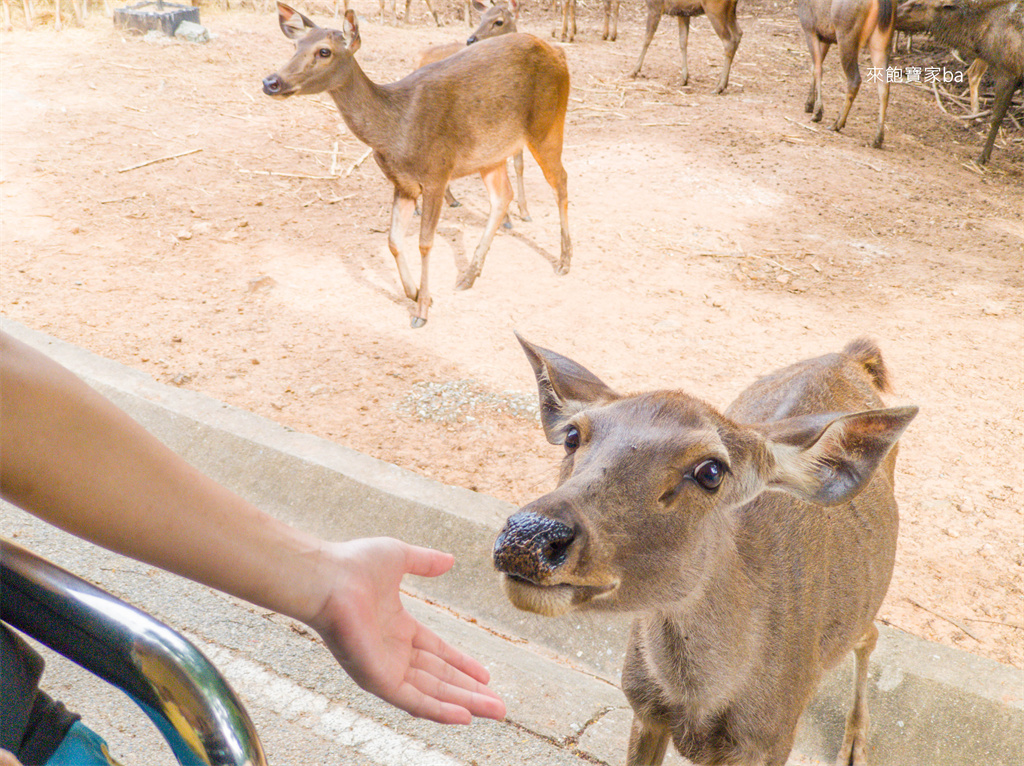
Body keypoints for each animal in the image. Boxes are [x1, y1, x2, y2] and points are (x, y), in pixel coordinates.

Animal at [413, 0, 532, 221]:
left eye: (498, 21)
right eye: (481, 18)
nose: (470, 39)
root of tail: (419, 57)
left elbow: (518, 164)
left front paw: (525, 212)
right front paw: (506, 218)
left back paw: (451, 200)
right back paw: (419, 206)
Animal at [491, 335, 917, 766]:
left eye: (711, 471)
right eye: (573, 436)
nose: (530, 536)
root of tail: (850, 356)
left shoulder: (771, 740)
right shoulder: (643, 706)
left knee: (870, 634)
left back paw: (855, 746)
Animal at [798, 0, 897, 148]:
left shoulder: (809, 27)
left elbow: (818, 69)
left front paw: (817, 112)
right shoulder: (825, 37)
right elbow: (814, 67)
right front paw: (809, 104)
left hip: (846, 35)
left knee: (855, 79)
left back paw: (837, 124)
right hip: (881, 41)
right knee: (884, 84)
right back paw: (877, 139)